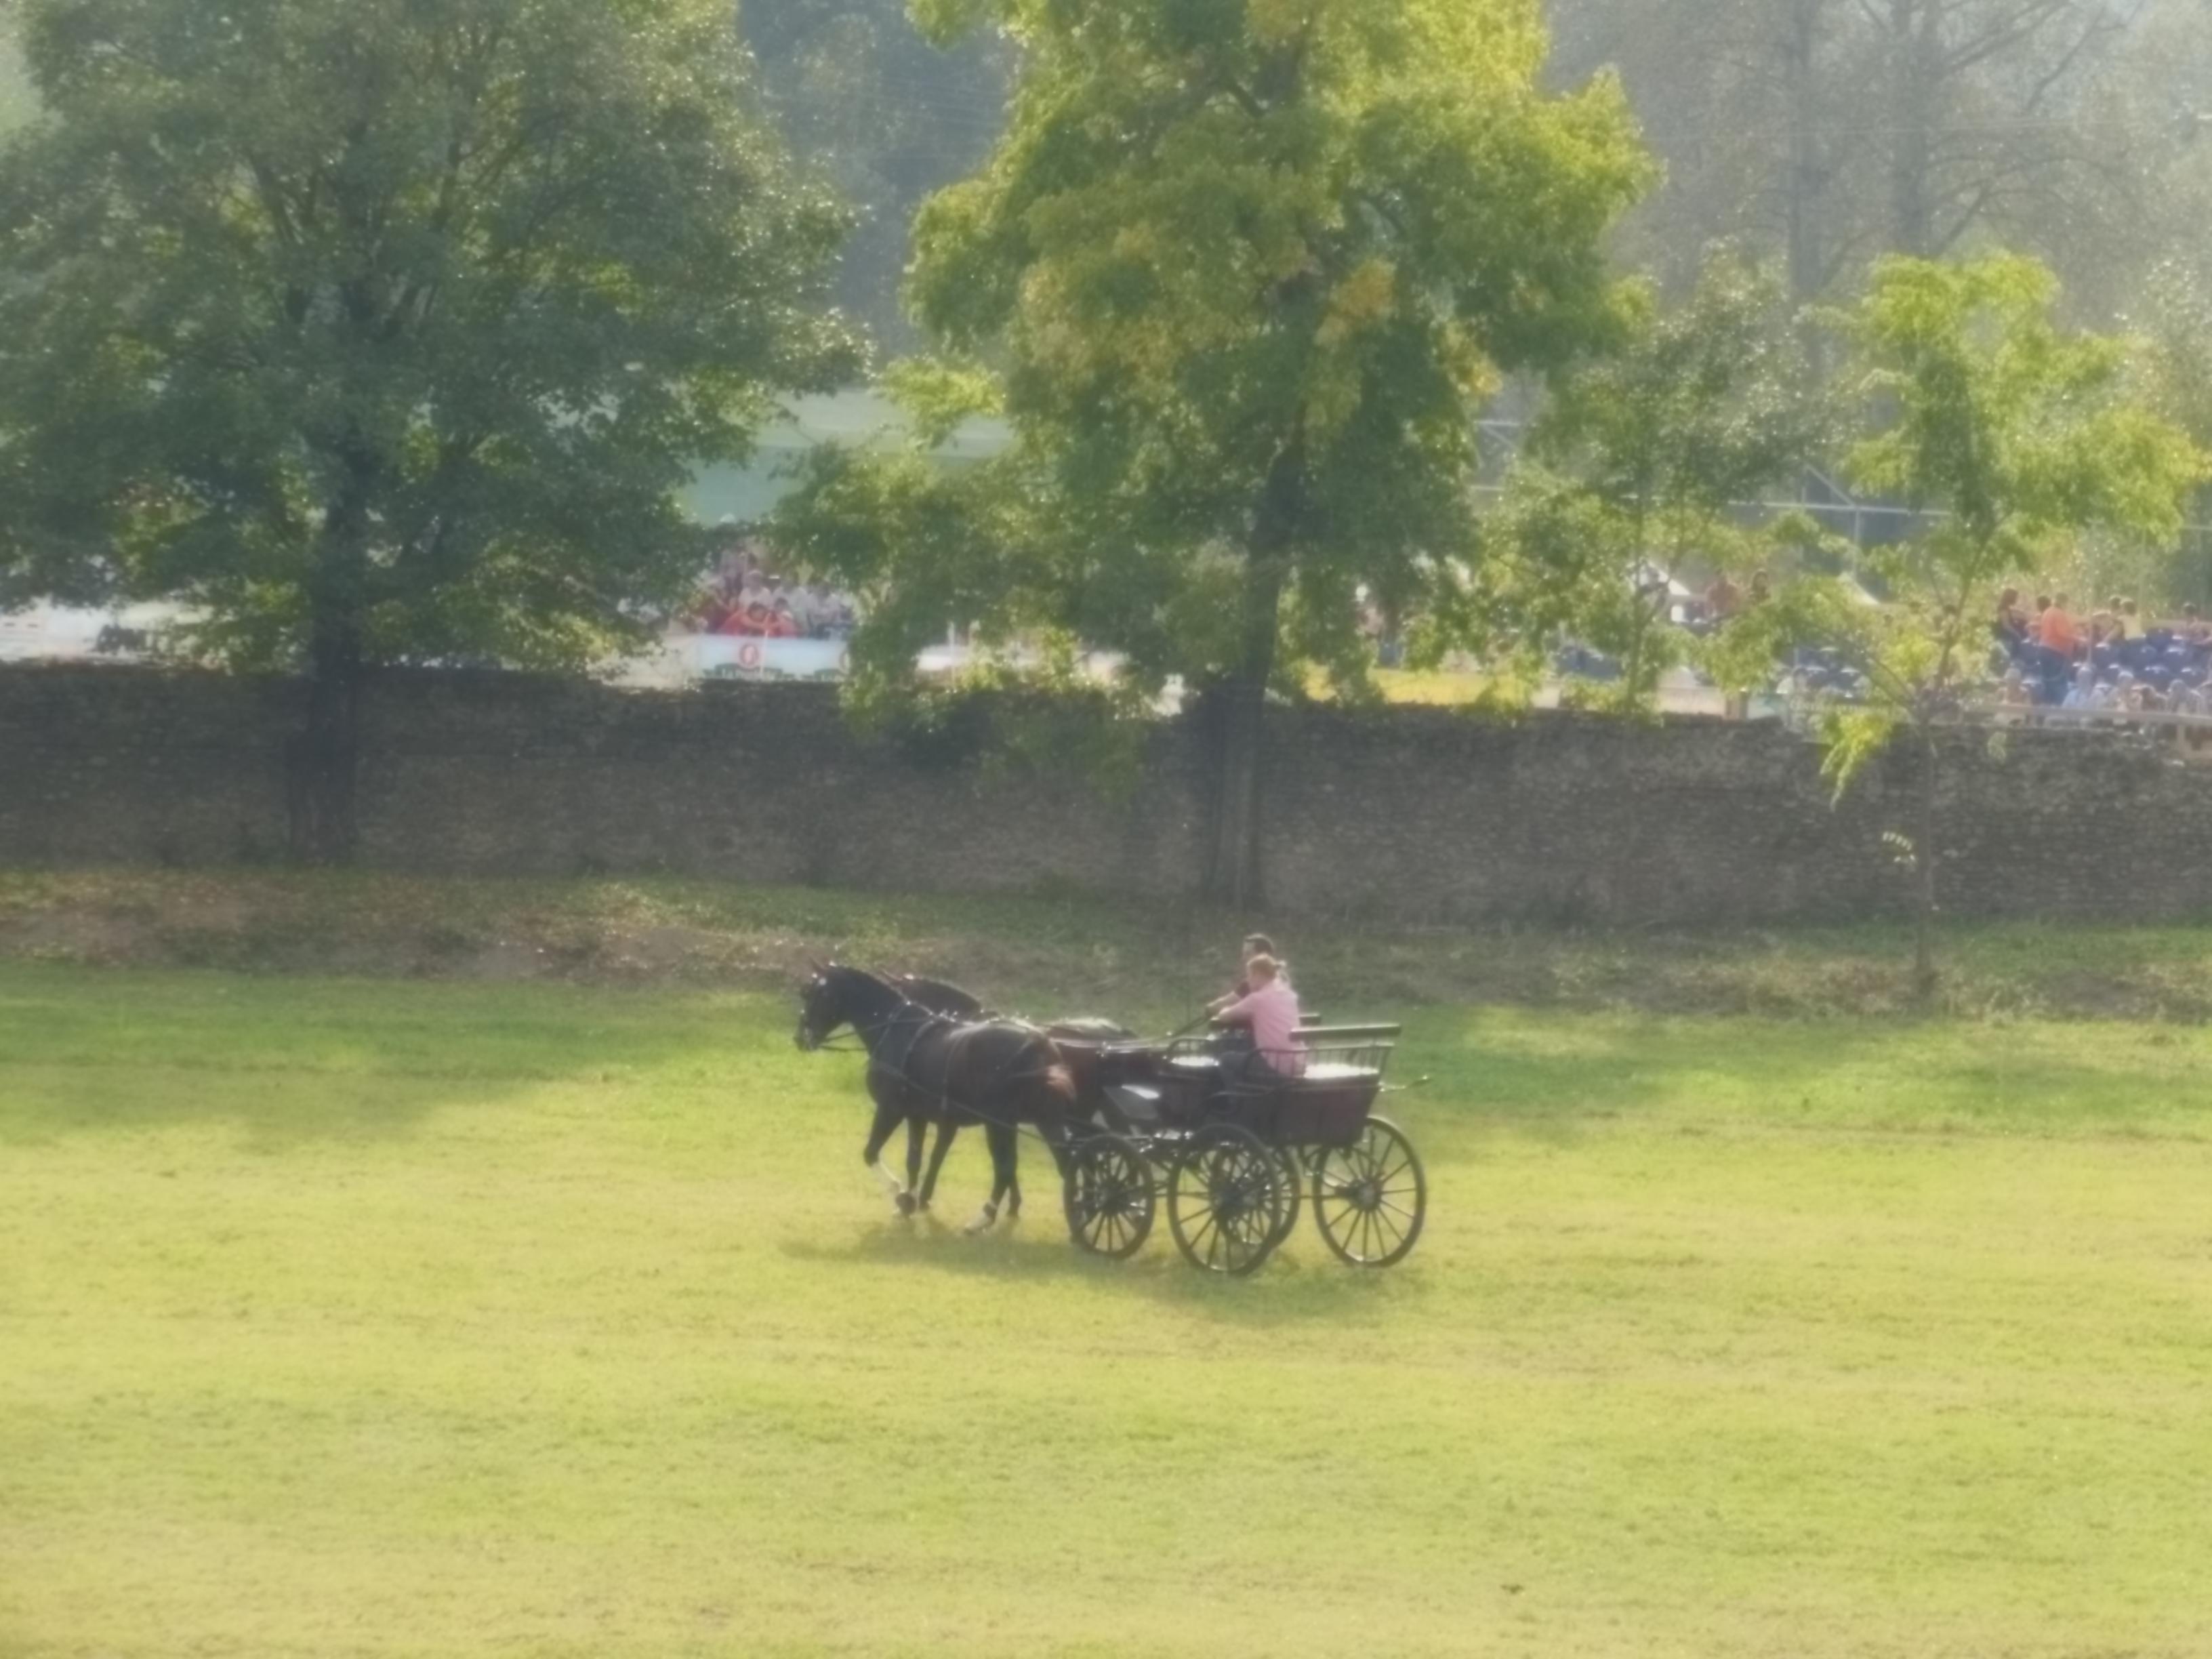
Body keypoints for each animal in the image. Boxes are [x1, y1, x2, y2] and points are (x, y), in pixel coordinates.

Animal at [796, 960, 1079, 1238]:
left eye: (814, 993)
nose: (799, 1038)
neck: (897, 1032)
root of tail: (1038, 1042)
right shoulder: (918, 1116)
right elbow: (915, 1160)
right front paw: (911, 1201)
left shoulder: (891, 1109)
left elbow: (871, 1152)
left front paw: (901, 1196)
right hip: (1044, 1120)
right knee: (1062, 1162)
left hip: (999, 1123)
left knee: (1006, 1168)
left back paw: (984, 1218)